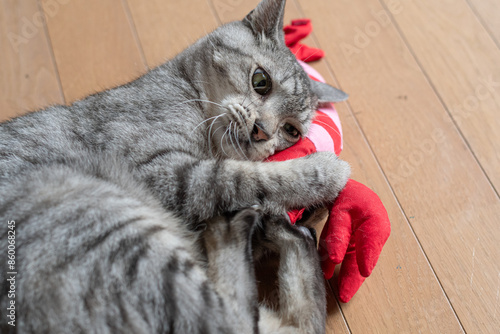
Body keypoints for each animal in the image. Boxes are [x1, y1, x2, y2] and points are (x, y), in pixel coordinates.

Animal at [0, 0, 350, 332]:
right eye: (260, 81)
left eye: (291, 130)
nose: (261, 131)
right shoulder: (167, 170)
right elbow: (246, 177)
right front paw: (326, 172)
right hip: (101, 219)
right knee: (231, 319)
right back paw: (235, 229)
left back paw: (287, 229)